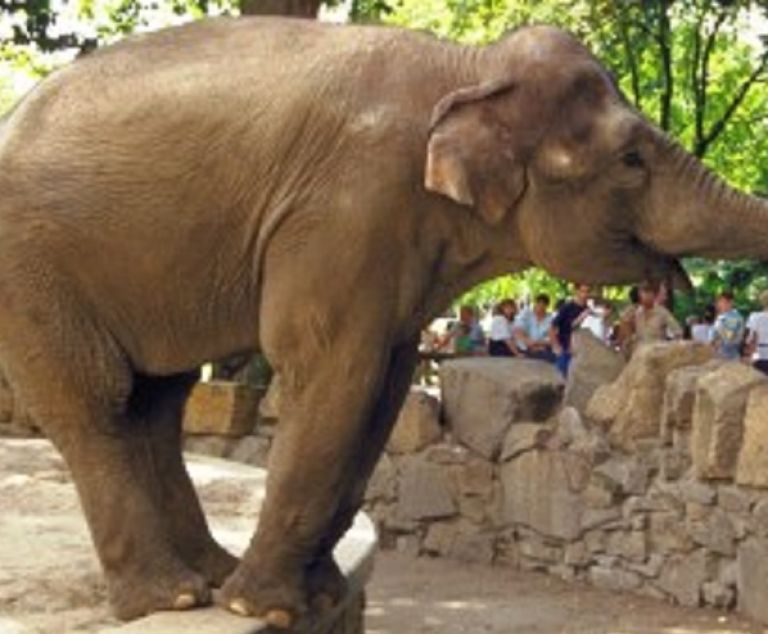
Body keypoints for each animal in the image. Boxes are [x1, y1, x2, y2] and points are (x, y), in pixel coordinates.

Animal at [1, 14, 768, 628]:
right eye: (632, 159)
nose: (675, 294)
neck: (471, 70)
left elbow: (385, 384)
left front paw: (320, 594)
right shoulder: (349, 209)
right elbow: (333, 369)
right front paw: (266, 610)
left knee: (159, 400)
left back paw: (208, 576)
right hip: (34, 267)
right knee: (100, 401)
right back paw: (173, 598)